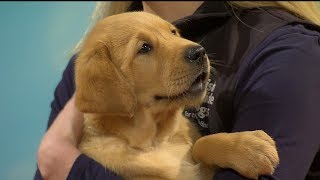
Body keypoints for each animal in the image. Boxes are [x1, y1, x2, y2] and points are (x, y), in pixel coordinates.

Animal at [74, 11, 278, 180]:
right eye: (144, 48)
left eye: (172, 32)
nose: (199, 52)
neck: (159, 139)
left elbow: (200, 143)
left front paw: (248, 147)